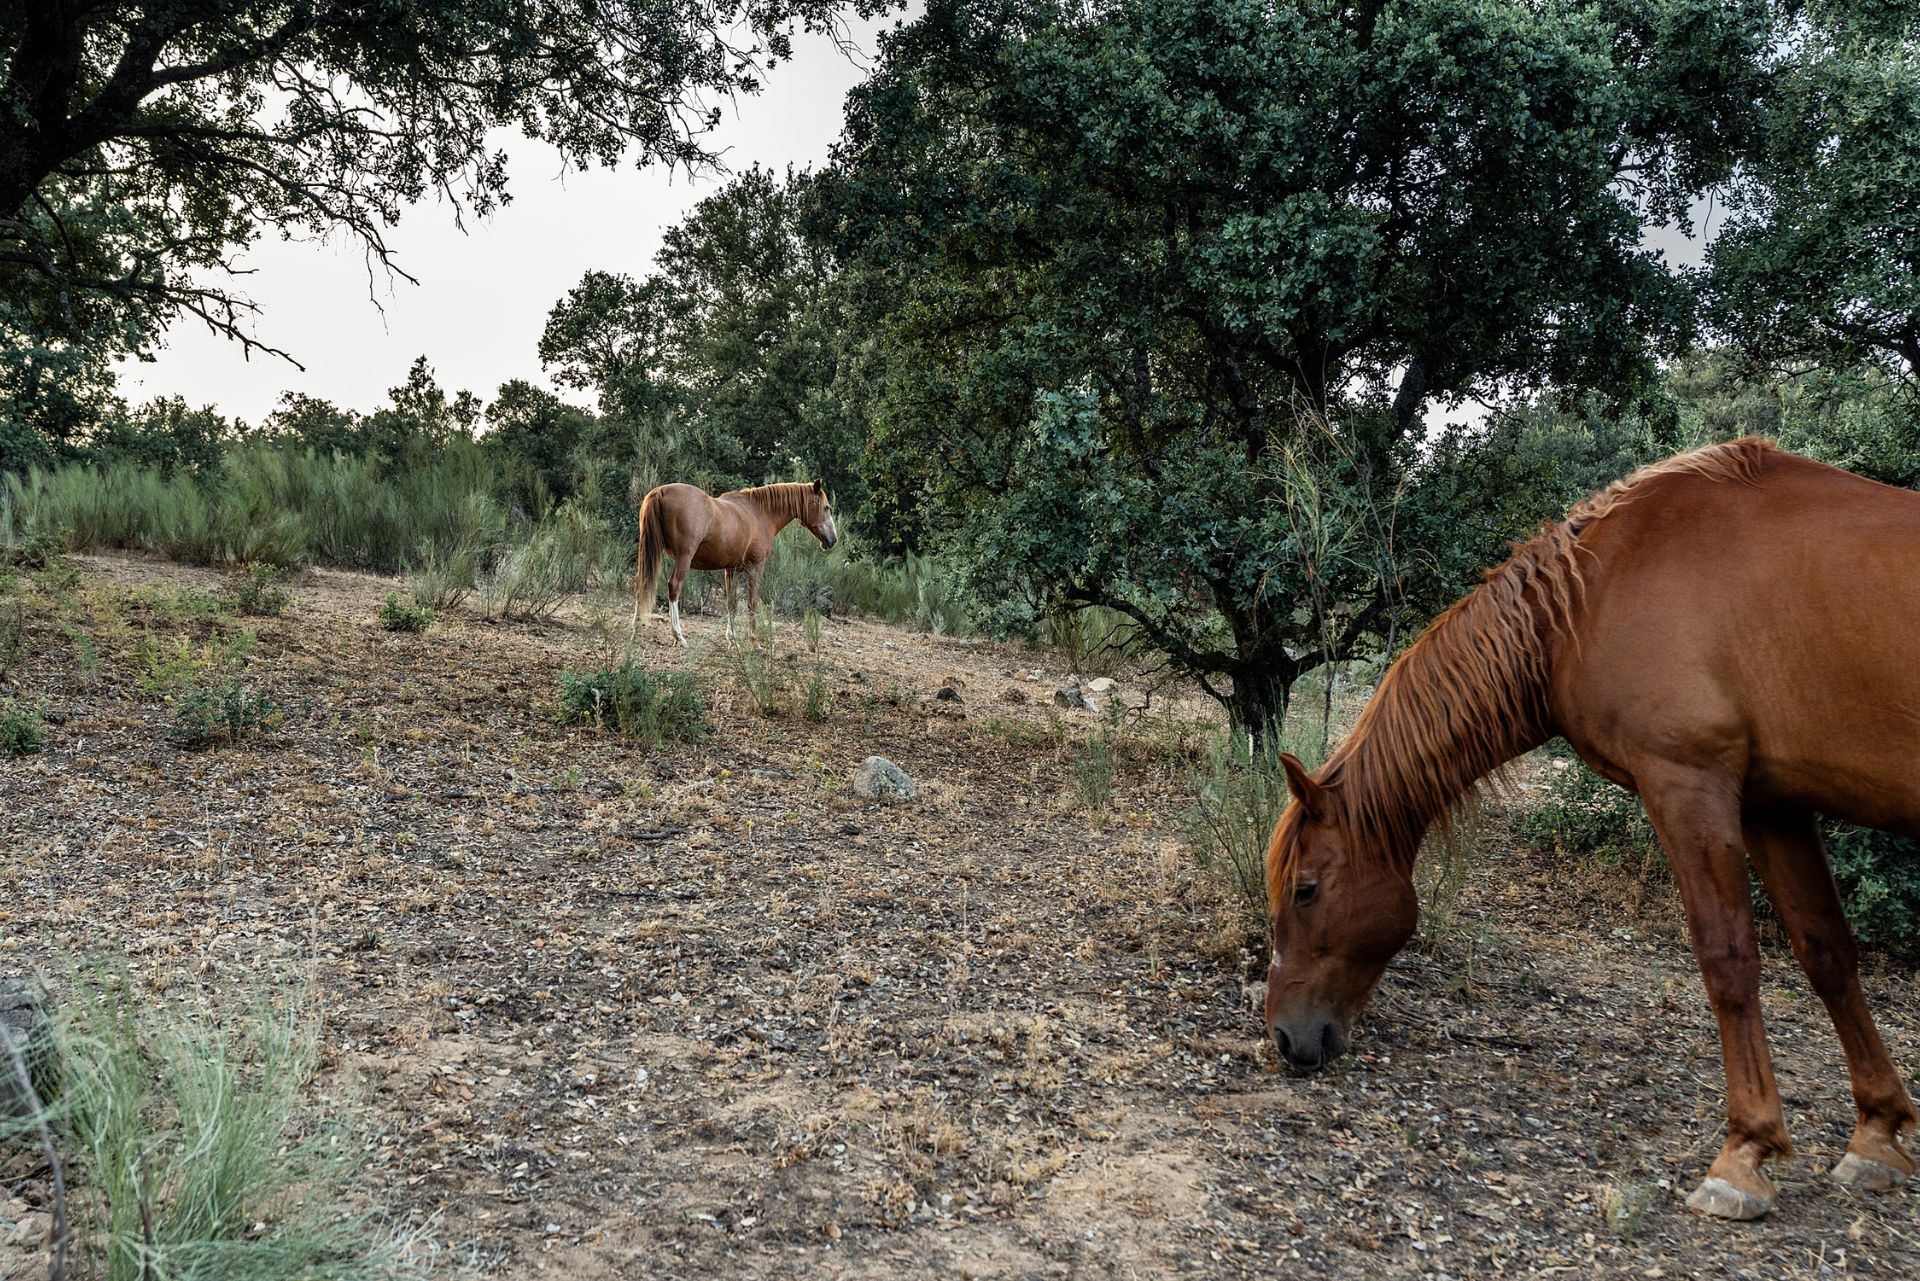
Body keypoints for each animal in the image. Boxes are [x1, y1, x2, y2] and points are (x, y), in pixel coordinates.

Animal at [632, 479, 838, 645]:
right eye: (826, 507)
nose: (833, 540)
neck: (760, 513)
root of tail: (660, 491)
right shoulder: (755, 567)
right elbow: (752, 603)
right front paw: (754, 641)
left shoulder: (731, 569)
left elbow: (731, 603)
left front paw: (732, 639)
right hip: (684, 558)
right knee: (674, 587)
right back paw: (678, 636)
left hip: (648, 553)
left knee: (641, 584)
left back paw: (636, 627)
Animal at [1263, 438, 1920, 1221]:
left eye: (1305, 890)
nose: (1282, 1034)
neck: (1589, 598)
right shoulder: (1772, 802)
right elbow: (1827, 952)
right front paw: (1877, 1135)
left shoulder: (1687, 784)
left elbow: (1728, 959)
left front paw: (1744, 1154)